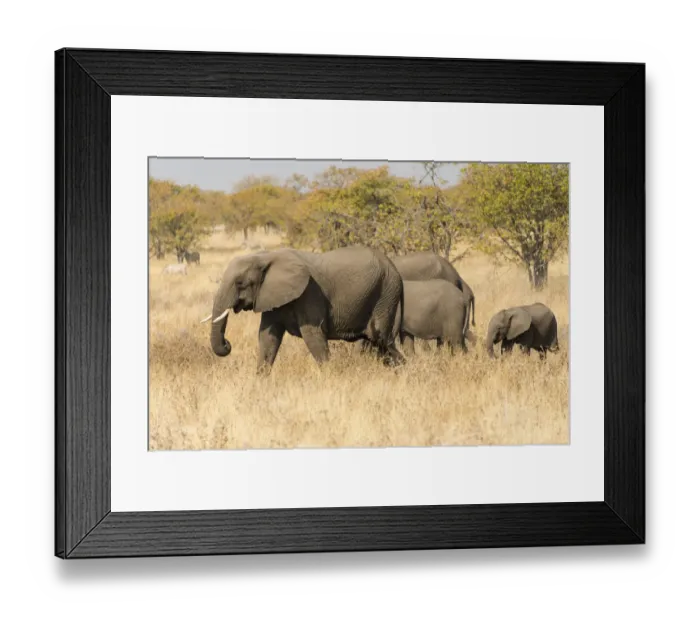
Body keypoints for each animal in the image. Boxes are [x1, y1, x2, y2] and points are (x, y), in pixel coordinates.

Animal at [201, 246, 405, 372]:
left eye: (240, 283)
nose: (227, 344)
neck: (266, 257)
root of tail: (396, 270)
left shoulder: (310, 293)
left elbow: (312, 335)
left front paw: (330, 377)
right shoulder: (271, 296)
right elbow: (267, 336)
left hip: (385, 294)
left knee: (382, 339)